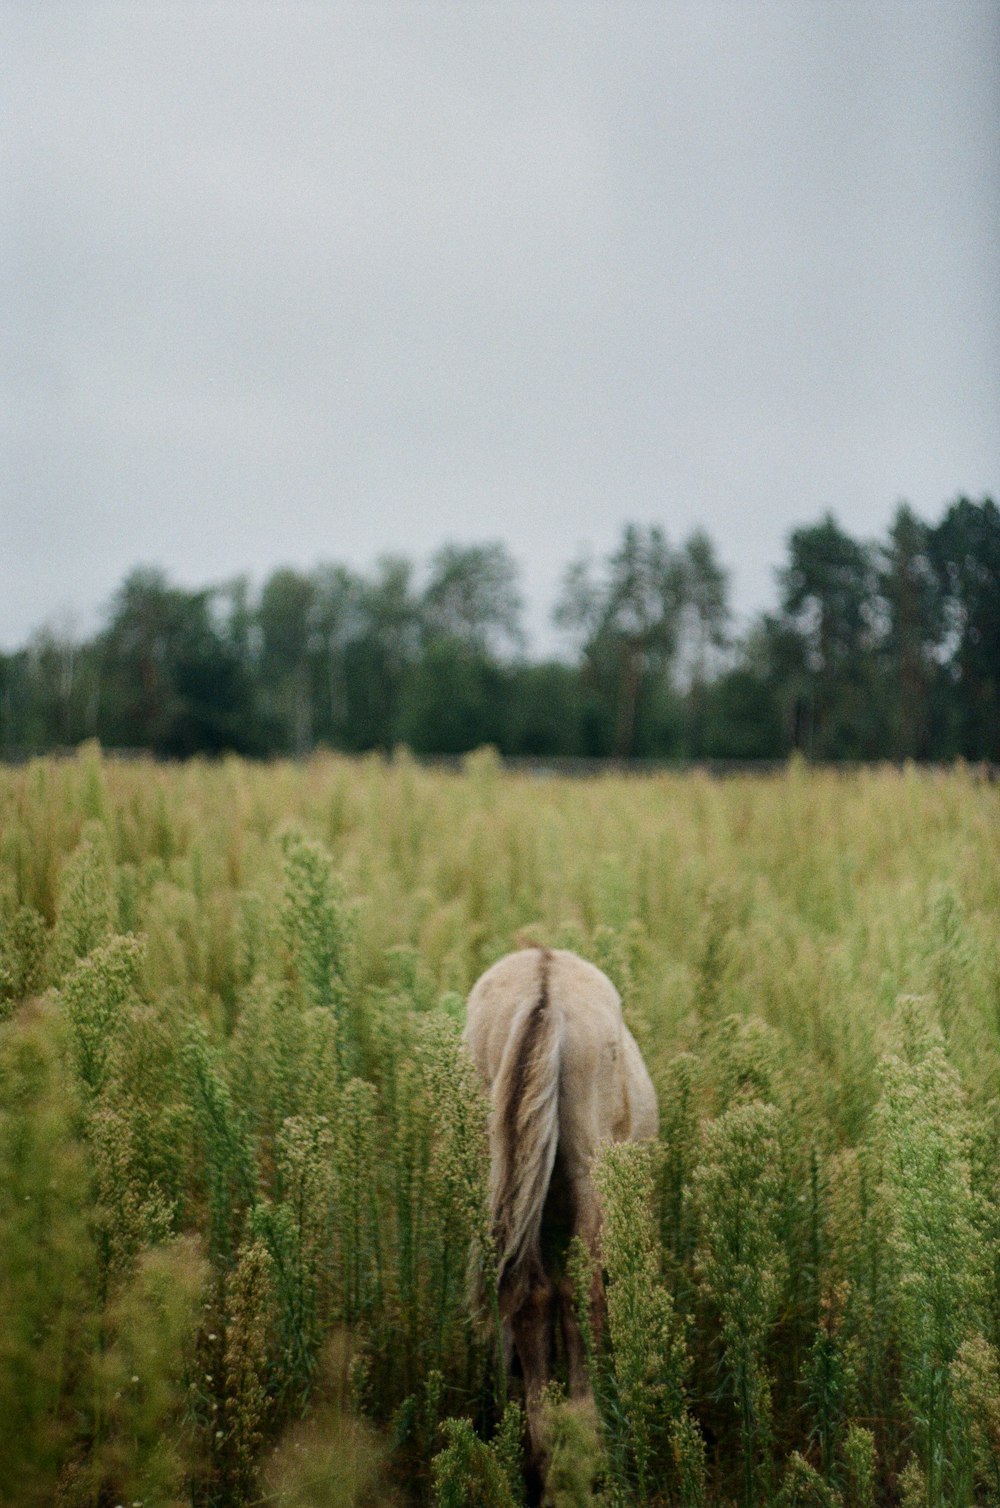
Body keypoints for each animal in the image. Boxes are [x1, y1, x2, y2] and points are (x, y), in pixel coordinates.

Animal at [464, 947, 660, 1477]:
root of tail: (543, 989)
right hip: (590, 1172)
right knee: (581, 1291)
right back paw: (586, 1430)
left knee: (526, 1294)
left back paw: (543, 1444)